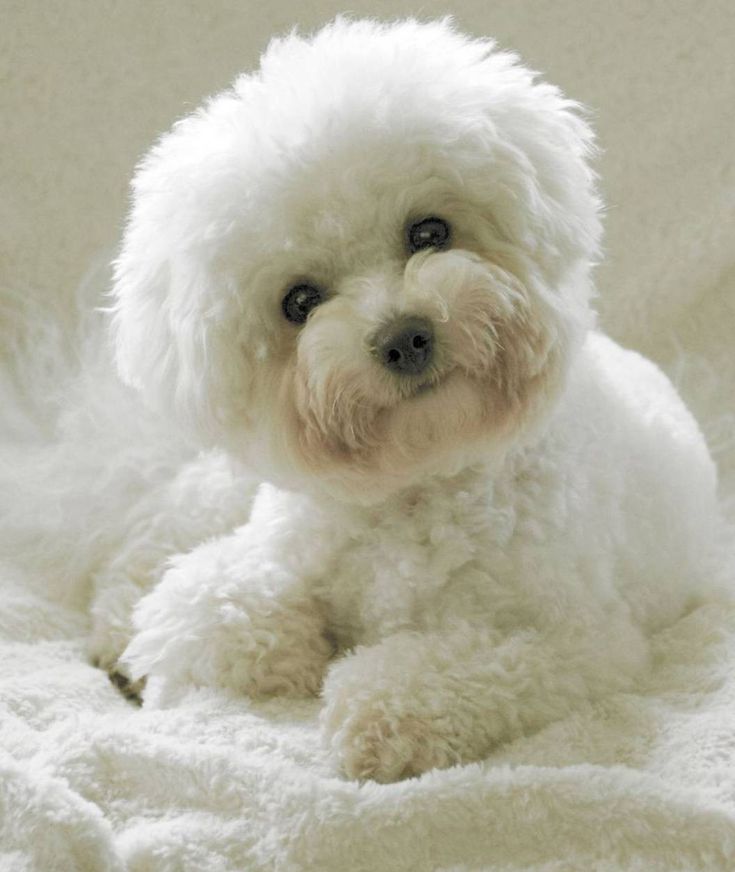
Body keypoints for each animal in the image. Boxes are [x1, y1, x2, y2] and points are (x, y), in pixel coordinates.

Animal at [90, 17, 720, 784]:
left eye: (429, 232)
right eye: (298, 301)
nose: (404, 337)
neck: (421, 479)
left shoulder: (577, 641)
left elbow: (451, 670)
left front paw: (373, 710)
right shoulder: (285, 539)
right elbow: (207, 602)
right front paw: (281, 646)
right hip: (226, 489)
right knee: (152, 542)